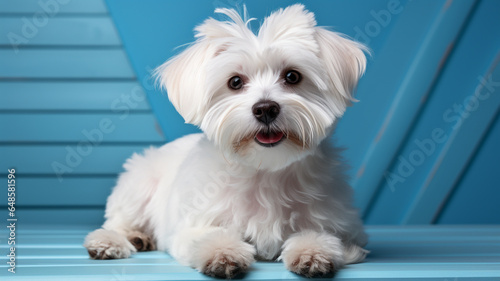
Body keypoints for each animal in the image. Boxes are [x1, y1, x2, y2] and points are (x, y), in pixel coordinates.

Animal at [84, 4, 370, 278]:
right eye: (235, 82)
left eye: (292, 76)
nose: (266, 108)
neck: (265, 170)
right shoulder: (191, 226)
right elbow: (210, 235)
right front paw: (222, 253)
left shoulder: (345, 229)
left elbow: (322, 235)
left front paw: (313, 251)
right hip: (139, 182)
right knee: (118, 221)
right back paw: (116, 240)